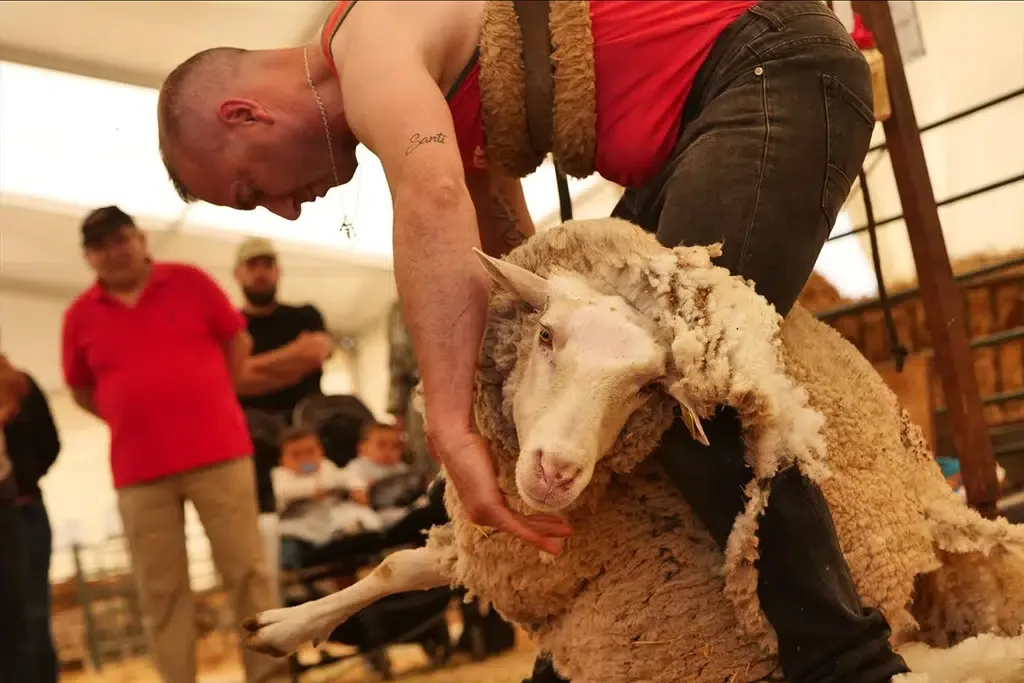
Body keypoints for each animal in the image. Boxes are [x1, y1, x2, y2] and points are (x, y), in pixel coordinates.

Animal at [241, 220, 1024, 683]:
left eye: (647, 385)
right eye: (545, 335)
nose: (555, 472)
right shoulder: (515, 548)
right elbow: (394, 564)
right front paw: (284, 627)